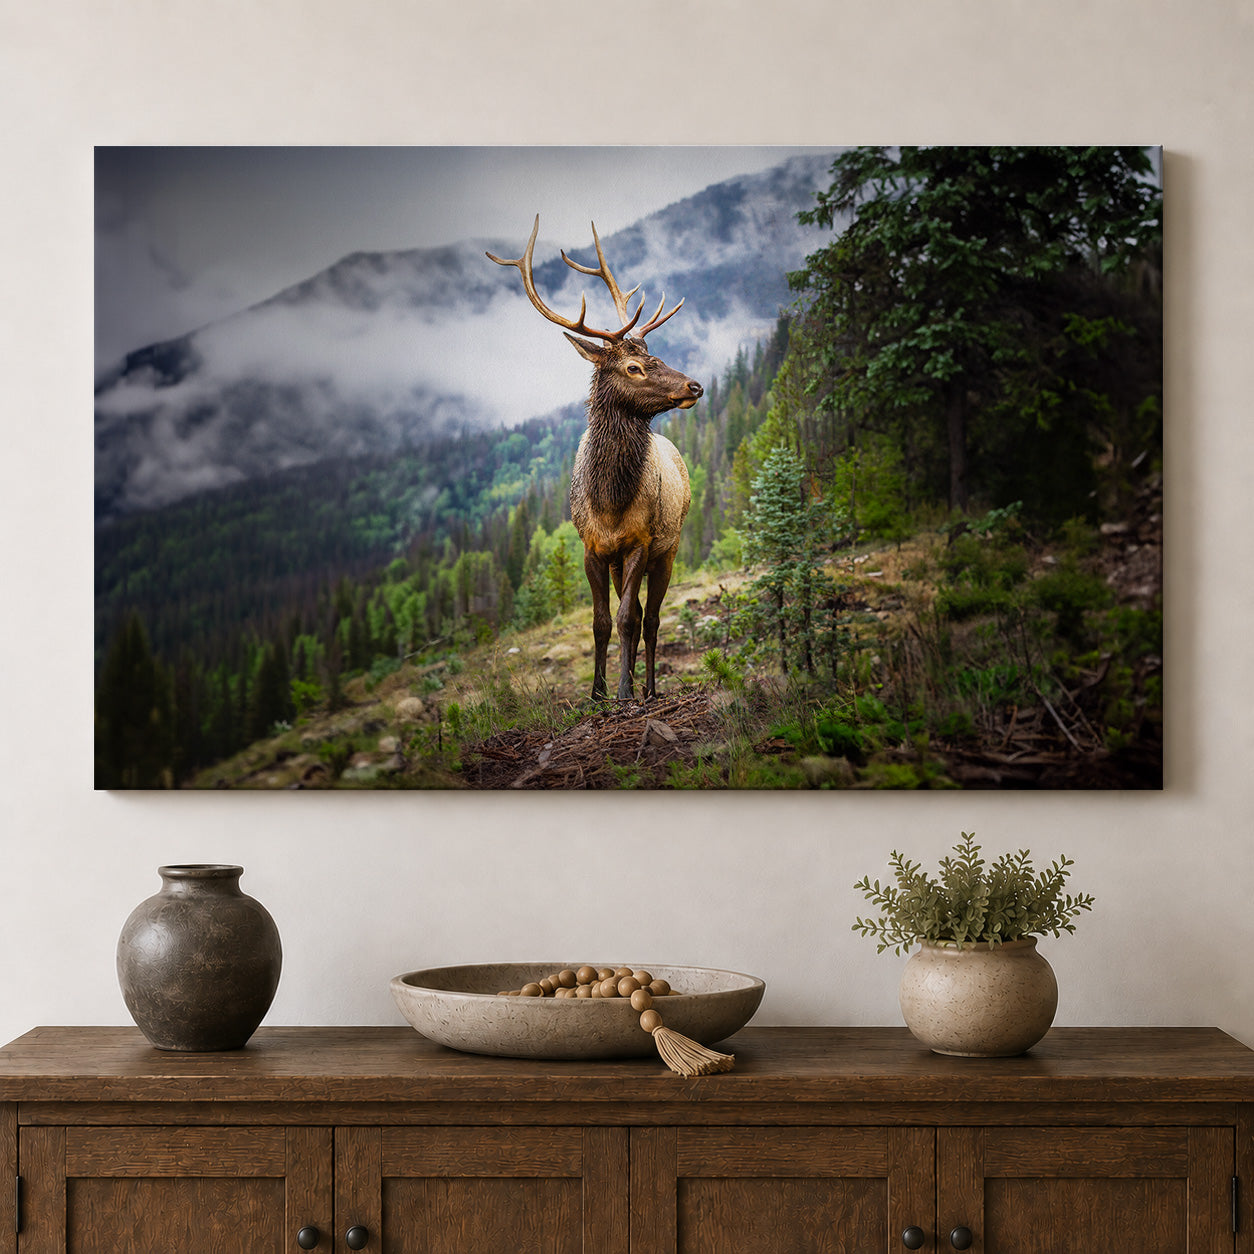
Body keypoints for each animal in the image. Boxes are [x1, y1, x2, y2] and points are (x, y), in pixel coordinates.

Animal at [488, 216, 702, 702]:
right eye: (634, 367)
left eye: (655, 356)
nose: (695, 385)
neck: (609, 501)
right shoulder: (592, 547)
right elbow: (601, 621)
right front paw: (597, 693)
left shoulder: (641, 540)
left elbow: (626, 619)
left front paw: (623, 691)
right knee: (638, 612)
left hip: (669, 546)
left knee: (651, 618)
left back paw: (649, 689)